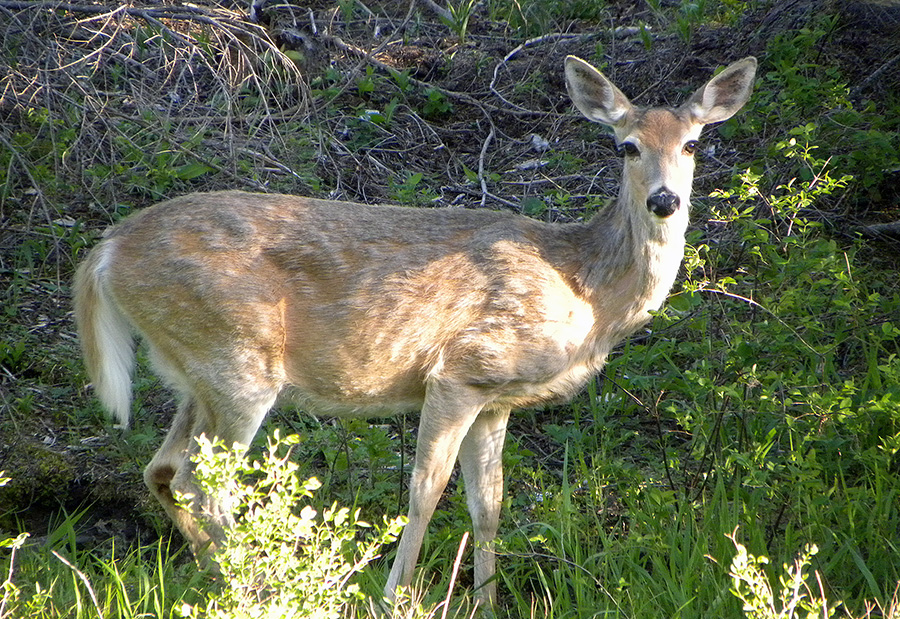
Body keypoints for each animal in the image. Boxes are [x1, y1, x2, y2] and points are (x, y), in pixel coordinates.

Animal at [73, 54, 756, 610]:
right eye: (627, 146)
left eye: (693, 144)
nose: (665, 200)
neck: (585, 290)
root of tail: (106, 251)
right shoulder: (461, 371)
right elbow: (425, 490)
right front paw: (394, 596)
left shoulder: (496, 397)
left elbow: (489, 504)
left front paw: (484, 603)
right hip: (237, 360)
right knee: (202, 483)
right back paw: (258, 587)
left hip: (198, 374)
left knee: (163, 470)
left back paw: (220, 580)